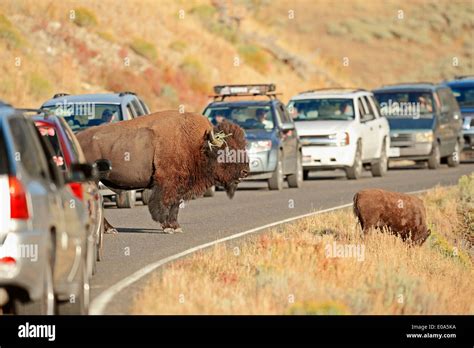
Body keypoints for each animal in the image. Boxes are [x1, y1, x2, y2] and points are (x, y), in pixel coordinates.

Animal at [76, 110, 250, 232]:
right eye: (228, 152)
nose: (245, 171)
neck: (198, 145)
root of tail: (77, 138)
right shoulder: (166, 183)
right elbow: (163, 203)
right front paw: (167, 227)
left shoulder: (179, 185)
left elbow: (175, 205)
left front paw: (175, 226)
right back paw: (109, 229)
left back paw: (110, 229)